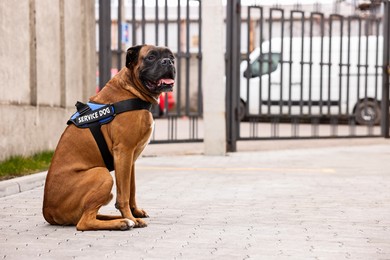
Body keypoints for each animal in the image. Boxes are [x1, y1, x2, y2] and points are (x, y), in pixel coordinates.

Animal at [42, 45, 175, 232]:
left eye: (172, 57)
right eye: (151, 57)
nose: (168, 62)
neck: (131, 89)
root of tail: (47, 211)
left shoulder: (129, 160)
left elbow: (131, 189)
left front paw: (135, 213)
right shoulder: (124, 152)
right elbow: (124, 194)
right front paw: (130, 216)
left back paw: (119, 219)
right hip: (102, 174)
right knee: (84, 222)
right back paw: (123, 222)